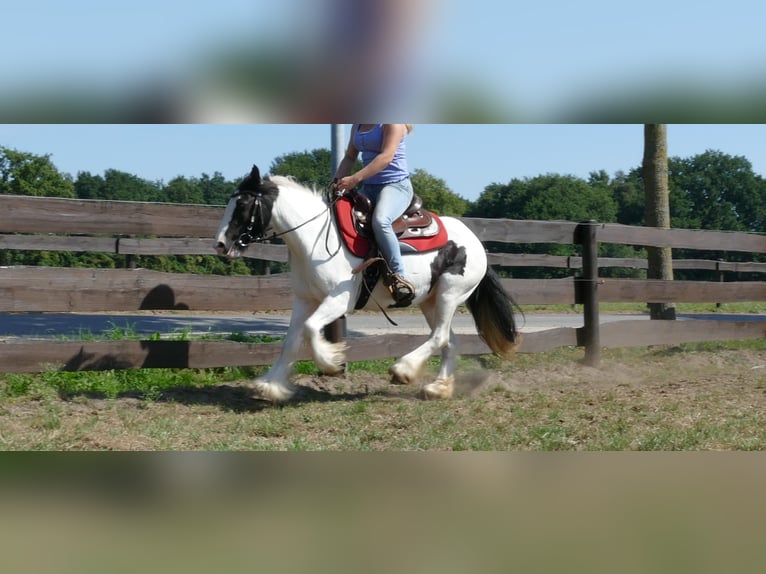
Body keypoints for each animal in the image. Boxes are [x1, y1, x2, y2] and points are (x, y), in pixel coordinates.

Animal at [214, 164, 520, 402]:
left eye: (243, 204)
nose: (220, 244)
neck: (314, 240)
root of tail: (475, 242)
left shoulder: (339, 301)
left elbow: (312, 329)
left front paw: (332, 363)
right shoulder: (304, 300)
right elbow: (291, 341)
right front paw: (271, 386)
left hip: (450, 295)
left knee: (440, 337)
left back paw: (402, 370)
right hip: (431, 302)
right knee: (449, 340)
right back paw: (437, 388)